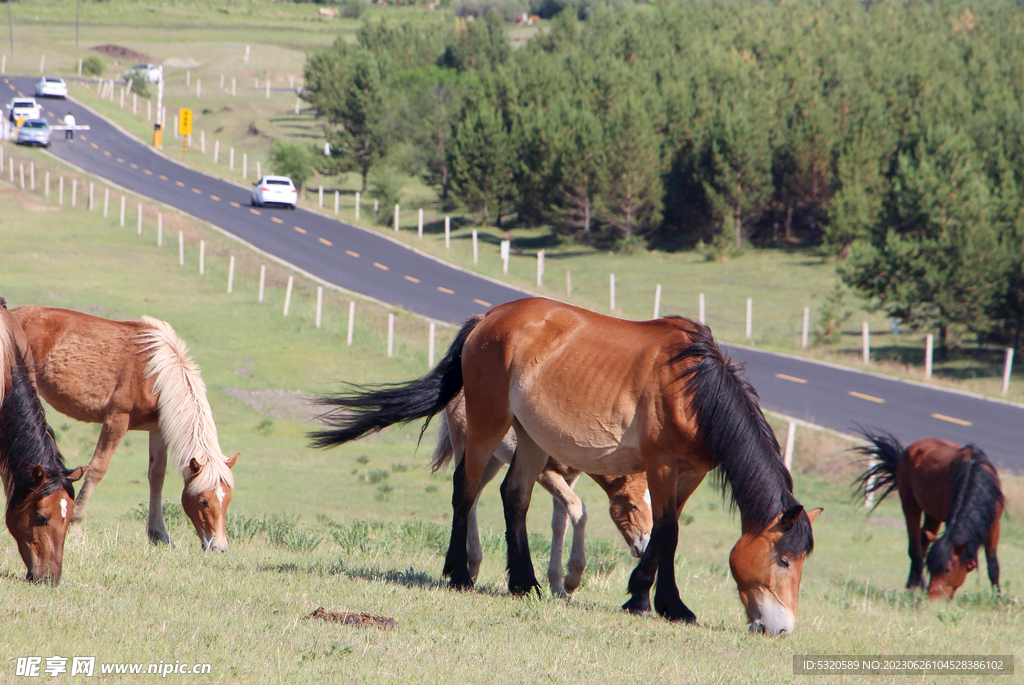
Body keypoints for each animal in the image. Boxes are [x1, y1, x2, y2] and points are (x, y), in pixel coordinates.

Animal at [12, 305, 238, 548]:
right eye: (203, 500)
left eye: (227, 499)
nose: (218, 546)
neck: (157, 373)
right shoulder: (117, 419)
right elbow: (97, 469)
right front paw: (76, 527)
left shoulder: (158, 429)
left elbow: (157, 477)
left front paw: (159, 534)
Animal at [436, 389, 651, 597]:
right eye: (633, 505)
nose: (642, 546)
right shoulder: (545, 472)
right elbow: (578, 508)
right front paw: (572, 578)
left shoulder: (570, 478)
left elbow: (560, 522)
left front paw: (557, 587)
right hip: (468, 446)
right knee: (467, 492)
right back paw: (465, 570)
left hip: (493, 460)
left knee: (475, 494)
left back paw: (473, 568)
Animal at [851, 432, 1003, 597]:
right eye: (931, 569)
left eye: (948, 569)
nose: (933, 597)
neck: (974, 477)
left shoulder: (994, 525)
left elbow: (993, 565)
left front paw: (998, 598)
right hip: (910, 506)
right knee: (916, 551)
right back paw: (915, 587)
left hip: (933, 517)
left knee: (923, 543)